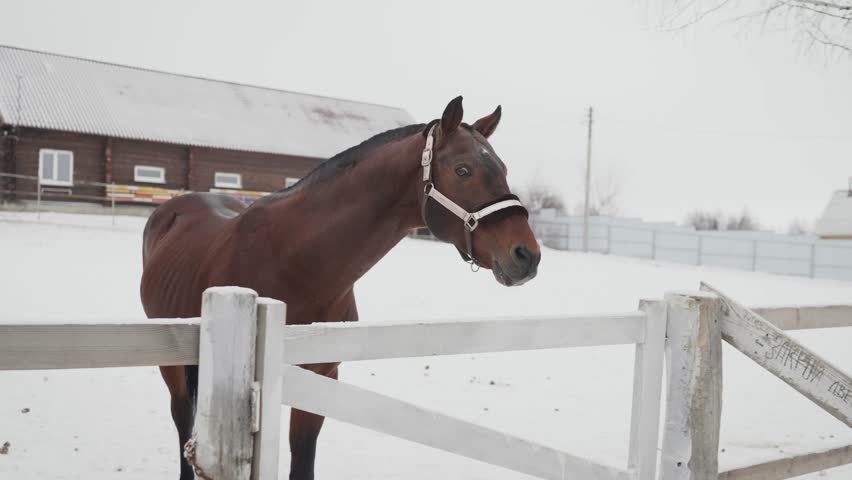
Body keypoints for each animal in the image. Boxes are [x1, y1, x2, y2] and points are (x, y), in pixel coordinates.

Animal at [140, 96, 541, 480]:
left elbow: (303, 466)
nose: (527, 255)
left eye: (503, 170)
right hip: (172, 366)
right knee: (182, 423)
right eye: (463, 170)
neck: (294, 261)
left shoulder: (321, 376)